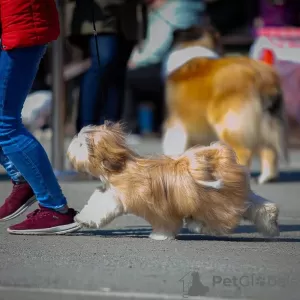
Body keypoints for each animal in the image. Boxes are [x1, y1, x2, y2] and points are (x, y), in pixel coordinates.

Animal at [67, 120, 278, 240]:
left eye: (81, 144)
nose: (70, 147)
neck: (119, 164)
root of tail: (219, 156)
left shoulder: (124, 198)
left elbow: (101, 208)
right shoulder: (111, 193)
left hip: (217, 200)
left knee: (224, 218)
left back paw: (200, 225)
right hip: (236, 193)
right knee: (259, 206)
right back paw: (271, 224)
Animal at [163, 25, 290, 185]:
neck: (195, 44)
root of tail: (263, 77)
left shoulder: (178, 121)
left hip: (226, 123)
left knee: (244, 152)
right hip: (267, 124)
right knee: (269, 151)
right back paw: (265, 178)